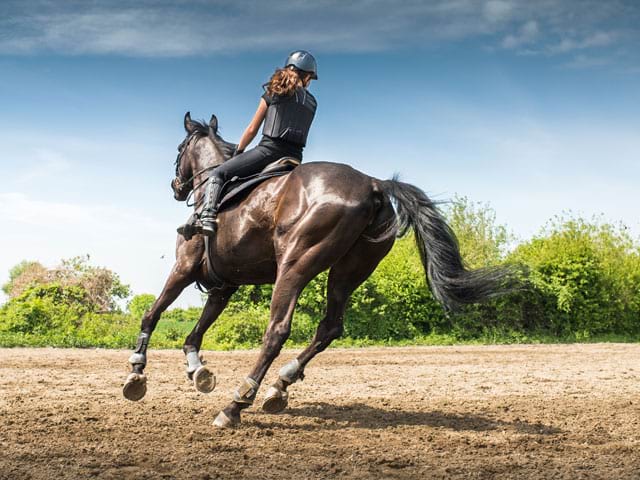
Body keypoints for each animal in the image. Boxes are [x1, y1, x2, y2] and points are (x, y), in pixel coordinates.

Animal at [122, 111, 516, 428]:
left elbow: (152, 314)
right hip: (348, 272)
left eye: (179, 149)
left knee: (277, 331)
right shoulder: (224, 285)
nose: (177, 187)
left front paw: (136, 373)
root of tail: (374, 184)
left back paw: (236, 404)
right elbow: (195, 333)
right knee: (329, 327)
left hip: (295, 265)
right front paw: (197, 370)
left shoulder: (184, 268)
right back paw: (279, 387)